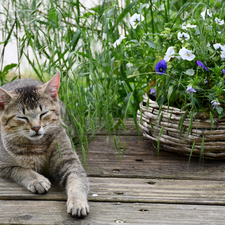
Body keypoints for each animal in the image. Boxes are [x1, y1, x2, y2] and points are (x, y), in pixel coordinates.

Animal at [0, 72, 89, 218]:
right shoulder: (4, 166)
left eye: (44, 113)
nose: (36, 128)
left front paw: (78, 202)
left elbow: (77, 180)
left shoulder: (70, 161)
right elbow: (21, 170)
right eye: (22, 117)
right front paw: (38, 180)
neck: (37, 146)